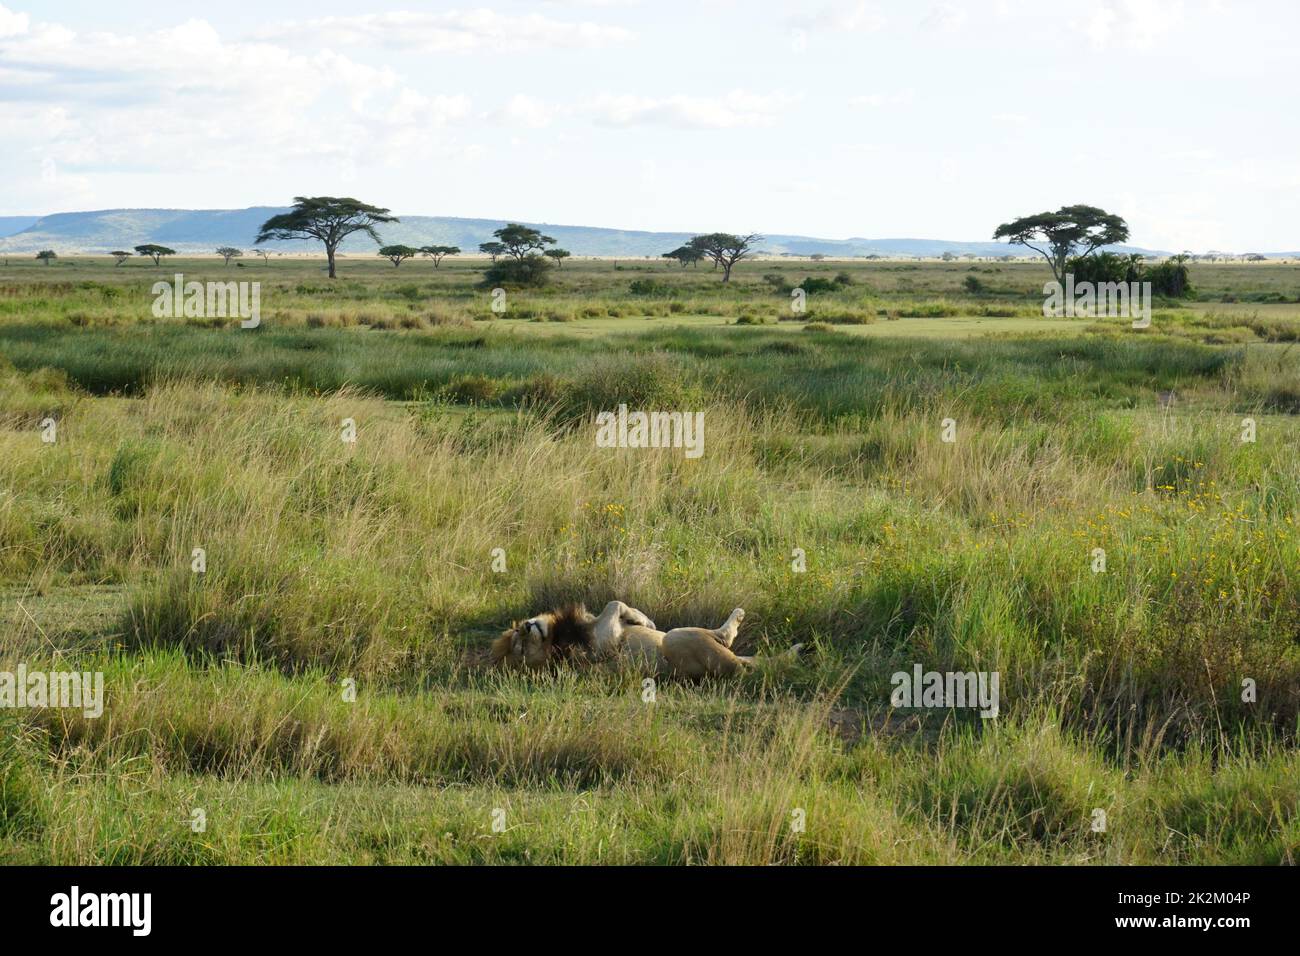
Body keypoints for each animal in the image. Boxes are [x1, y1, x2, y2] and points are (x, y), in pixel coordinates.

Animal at [488, 598, 795, 681]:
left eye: (516, 637)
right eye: (519, 647)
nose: (526, 626)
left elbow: (619, 606)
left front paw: (641, 620)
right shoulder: (602, 644)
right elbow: (614, 604)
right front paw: (646, 622)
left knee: (752, 659)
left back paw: (794, 651)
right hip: (676, 638)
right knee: (727, 643)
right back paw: (737, 618)